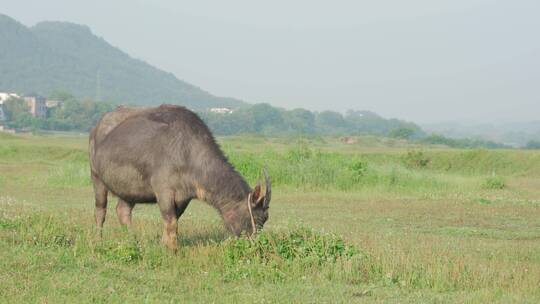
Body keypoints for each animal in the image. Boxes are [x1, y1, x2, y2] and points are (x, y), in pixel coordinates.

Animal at [91, 104, 274, 249]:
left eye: (265, 219)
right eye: (259, 217)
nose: (256, 243)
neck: (187, 152)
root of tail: (98, 126)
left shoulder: (183, 198)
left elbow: (173, 221)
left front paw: (164, 244)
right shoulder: (163, 191)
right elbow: (171, 221)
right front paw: (172, 249)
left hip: (129, 190)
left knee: (123, 211)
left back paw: (133, 242)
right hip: (96, 178)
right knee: (101, 210)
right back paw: (98, 241)